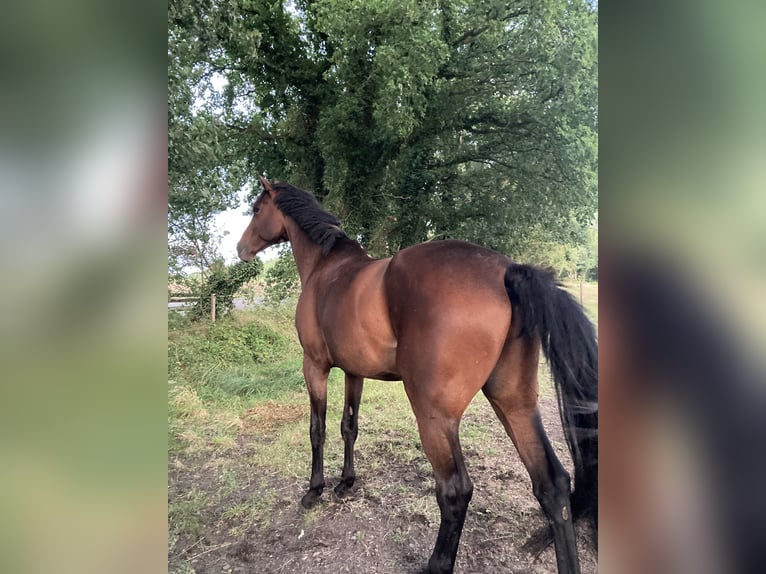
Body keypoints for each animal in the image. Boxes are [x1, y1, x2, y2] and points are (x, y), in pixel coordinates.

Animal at [237, 177, 596, 574]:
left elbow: (318, 429)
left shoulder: (314, 365)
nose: (241, 249)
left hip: (435, 417)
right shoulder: (353, 372)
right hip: (514, 402)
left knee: (455, 491)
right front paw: (346, 483)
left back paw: (436, 564)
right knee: (553, 485)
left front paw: (314, 490)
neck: (326, 268)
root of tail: (506, 271)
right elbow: (349, 426)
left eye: (256, 209)